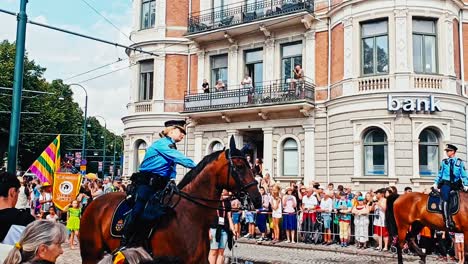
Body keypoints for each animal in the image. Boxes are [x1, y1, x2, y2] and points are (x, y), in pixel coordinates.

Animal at [80, 138, 264, 264]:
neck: (190, 215)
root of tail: (95, 202)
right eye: (240, 167)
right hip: (91, 253)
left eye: (251, 166)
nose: (257, 198)